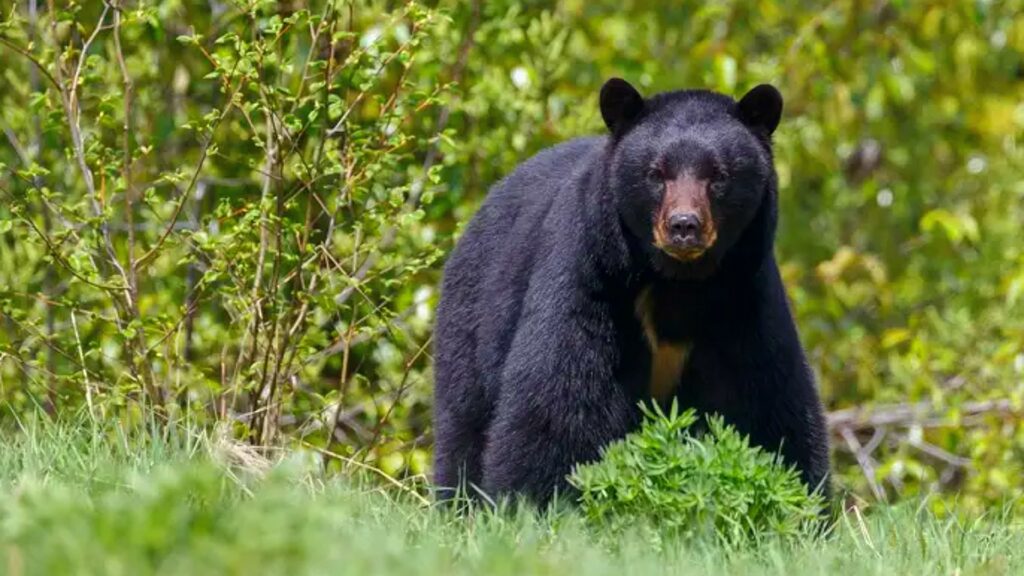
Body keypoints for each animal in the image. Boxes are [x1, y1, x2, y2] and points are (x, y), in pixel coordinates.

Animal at [432, 78, 831, 506]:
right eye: (656, 173)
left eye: (718, 174)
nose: (684, 226)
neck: (678, 281)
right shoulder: (592, 277)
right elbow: (561, 397)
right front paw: (534, 502)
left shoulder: (742, 297)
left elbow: (766, 401)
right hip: (473, 316)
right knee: (464, 420)